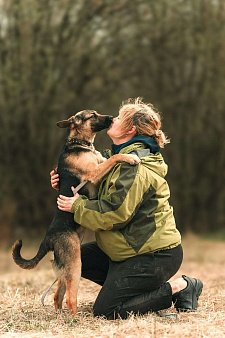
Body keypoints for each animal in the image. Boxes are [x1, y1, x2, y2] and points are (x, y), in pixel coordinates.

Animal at [11, 110, 141, 314]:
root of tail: (48, 238)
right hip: (74, 264)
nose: (112, 118)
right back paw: (74, 317)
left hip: (66, 267)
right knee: (69, 298)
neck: (80, 144)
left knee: (57, 295)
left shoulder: (100, 163)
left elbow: (110, 157)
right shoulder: (95, 171)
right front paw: (131, 158)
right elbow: (114, 157)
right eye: (93, 115)